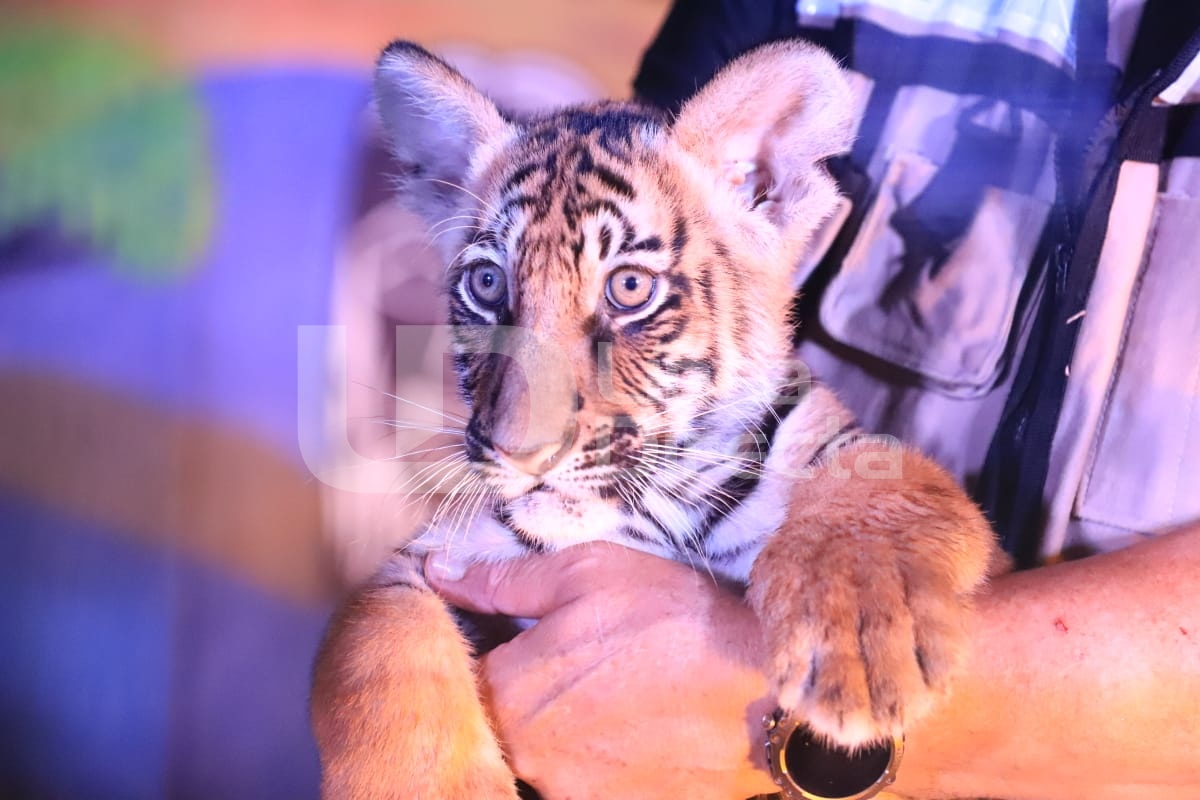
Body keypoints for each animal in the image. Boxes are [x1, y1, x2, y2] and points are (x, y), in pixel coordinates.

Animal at [310, 39, 1001, 800]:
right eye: (487, 284)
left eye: (629, 287)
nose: (522, 453)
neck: (646, 514)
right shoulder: (441, 558)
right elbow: (381, 643)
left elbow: (883, 479)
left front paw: (863, 651)